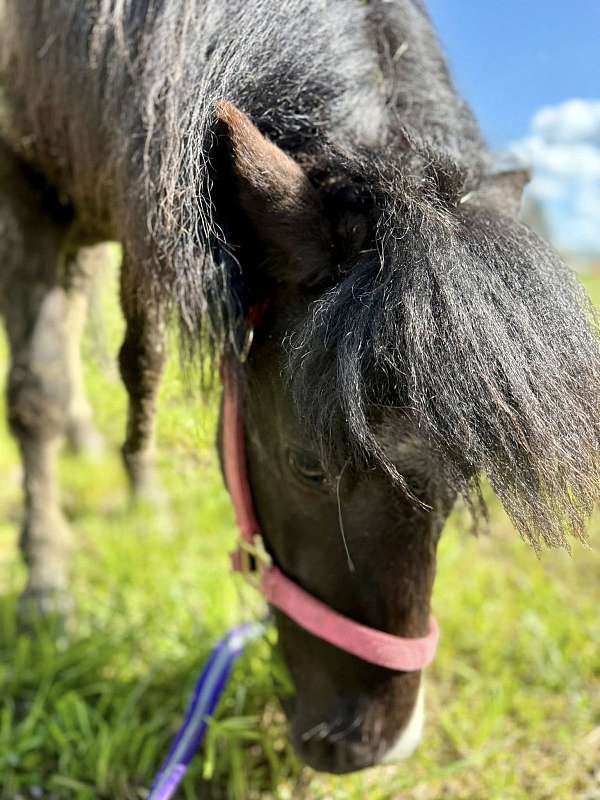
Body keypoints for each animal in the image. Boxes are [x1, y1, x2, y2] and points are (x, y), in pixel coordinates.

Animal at [1, 0, 600, 775]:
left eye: (467, 471)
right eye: (308, 466)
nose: (370, 746)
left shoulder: (143, 196)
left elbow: (144, 363)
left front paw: (145, 494)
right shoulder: (28, 188)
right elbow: (37, 391)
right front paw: (46, 596)